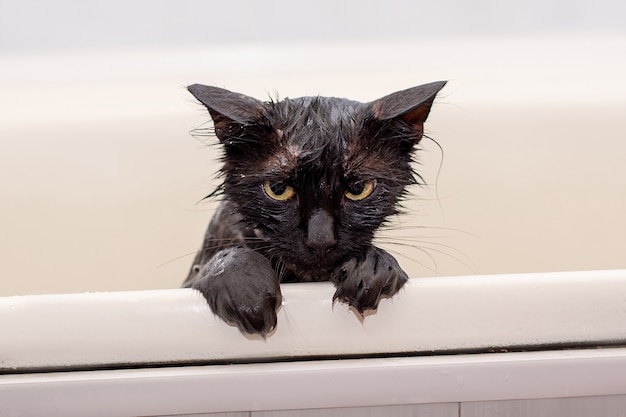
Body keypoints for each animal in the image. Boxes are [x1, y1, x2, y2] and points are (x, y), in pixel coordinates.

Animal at [183, 81, 446, 334]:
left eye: (358, 189)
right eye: (278, 189)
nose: (320, 241)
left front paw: (371, 267)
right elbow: (219, 260)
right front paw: (245, 287)